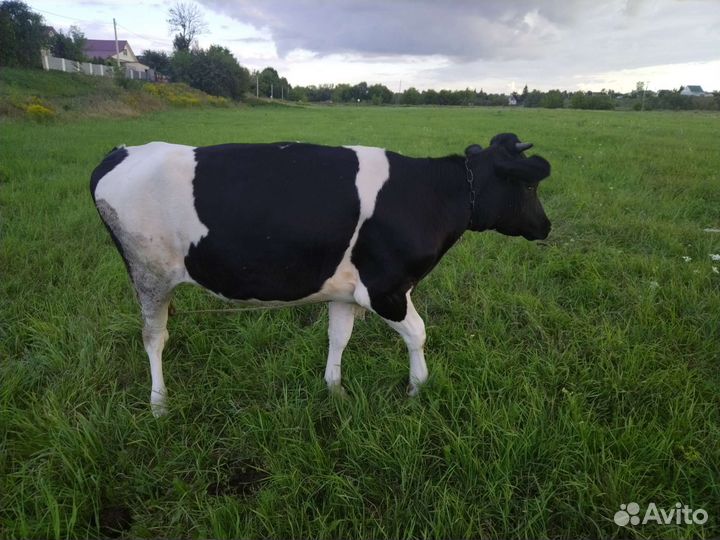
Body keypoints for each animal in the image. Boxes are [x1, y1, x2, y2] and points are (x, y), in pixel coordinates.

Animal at [90, 133, 551, 416]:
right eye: (529, 187)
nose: (546, 227)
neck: (428, 197)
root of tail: (122, 151)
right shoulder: (385, 289)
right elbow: (419, 334)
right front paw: (418, 389)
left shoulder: (345, 292)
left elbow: (338, 337)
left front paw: (335, 391)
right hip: (150, 276)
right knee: (154, 338)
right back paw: (159, 404)